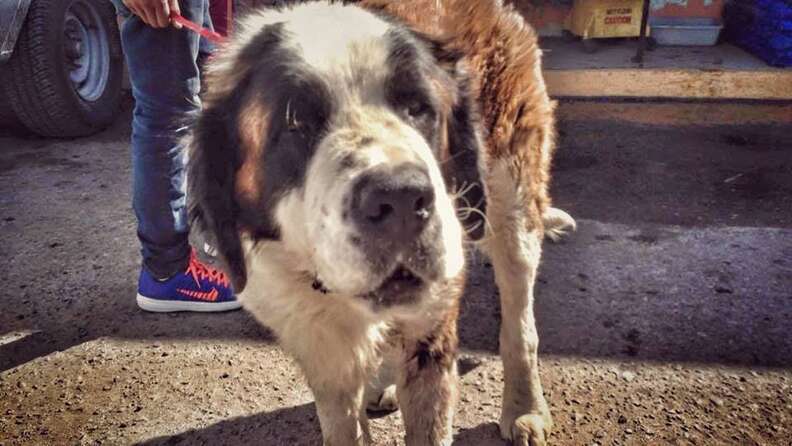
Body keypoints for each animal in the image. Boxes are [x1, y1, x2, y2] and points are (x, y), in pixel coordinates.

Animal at [186, 1, 576, 444]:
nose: (401, 197)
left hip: (511, 202)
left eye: (418, 108)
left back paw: (525, 407)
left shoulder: (432, 328)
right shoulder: (318, 346)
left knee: (519, 320)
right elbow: (343, 422)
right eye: (295, 123)